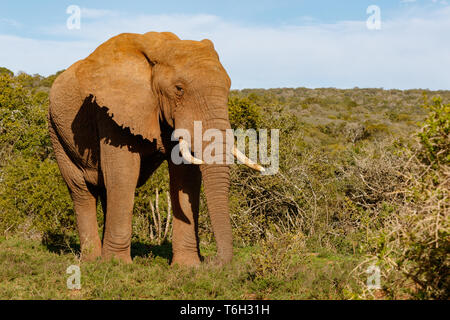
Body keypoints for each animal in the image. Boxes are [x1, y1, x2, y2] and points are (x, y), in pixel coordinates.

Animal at [47, 31, 262, 266]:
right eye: (179, 89)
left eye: (228, 87)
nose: (212, 262)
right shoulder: (112, 112)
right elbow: (124, 174)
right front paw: (117, 265)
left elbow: (185, 175)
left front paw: (188, 267)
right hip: (56, 131)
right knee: (81, 190)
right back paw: (92, 260)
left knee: (104, 190)